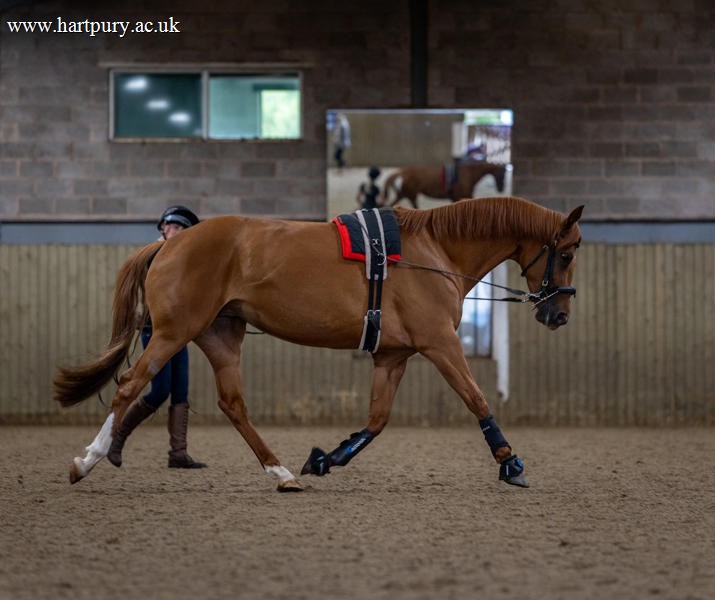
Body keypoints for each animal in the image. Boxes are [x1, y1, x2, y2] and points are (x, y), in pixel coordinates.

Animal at [54, 197, 583, 492]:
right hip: (172, 333)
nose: (558, 314)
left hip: (220, 337)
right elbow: (476, 399)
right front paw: (511, 463)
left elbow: (376, 421)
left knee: (232, 404)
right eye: (568, 251)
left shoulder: (394, 354)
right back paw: (87, 461)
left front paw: (325, 459)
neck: (434, 251)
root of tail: (170, 243)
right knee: (129, 385)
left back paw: (282, 473)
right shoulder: (440, 344)